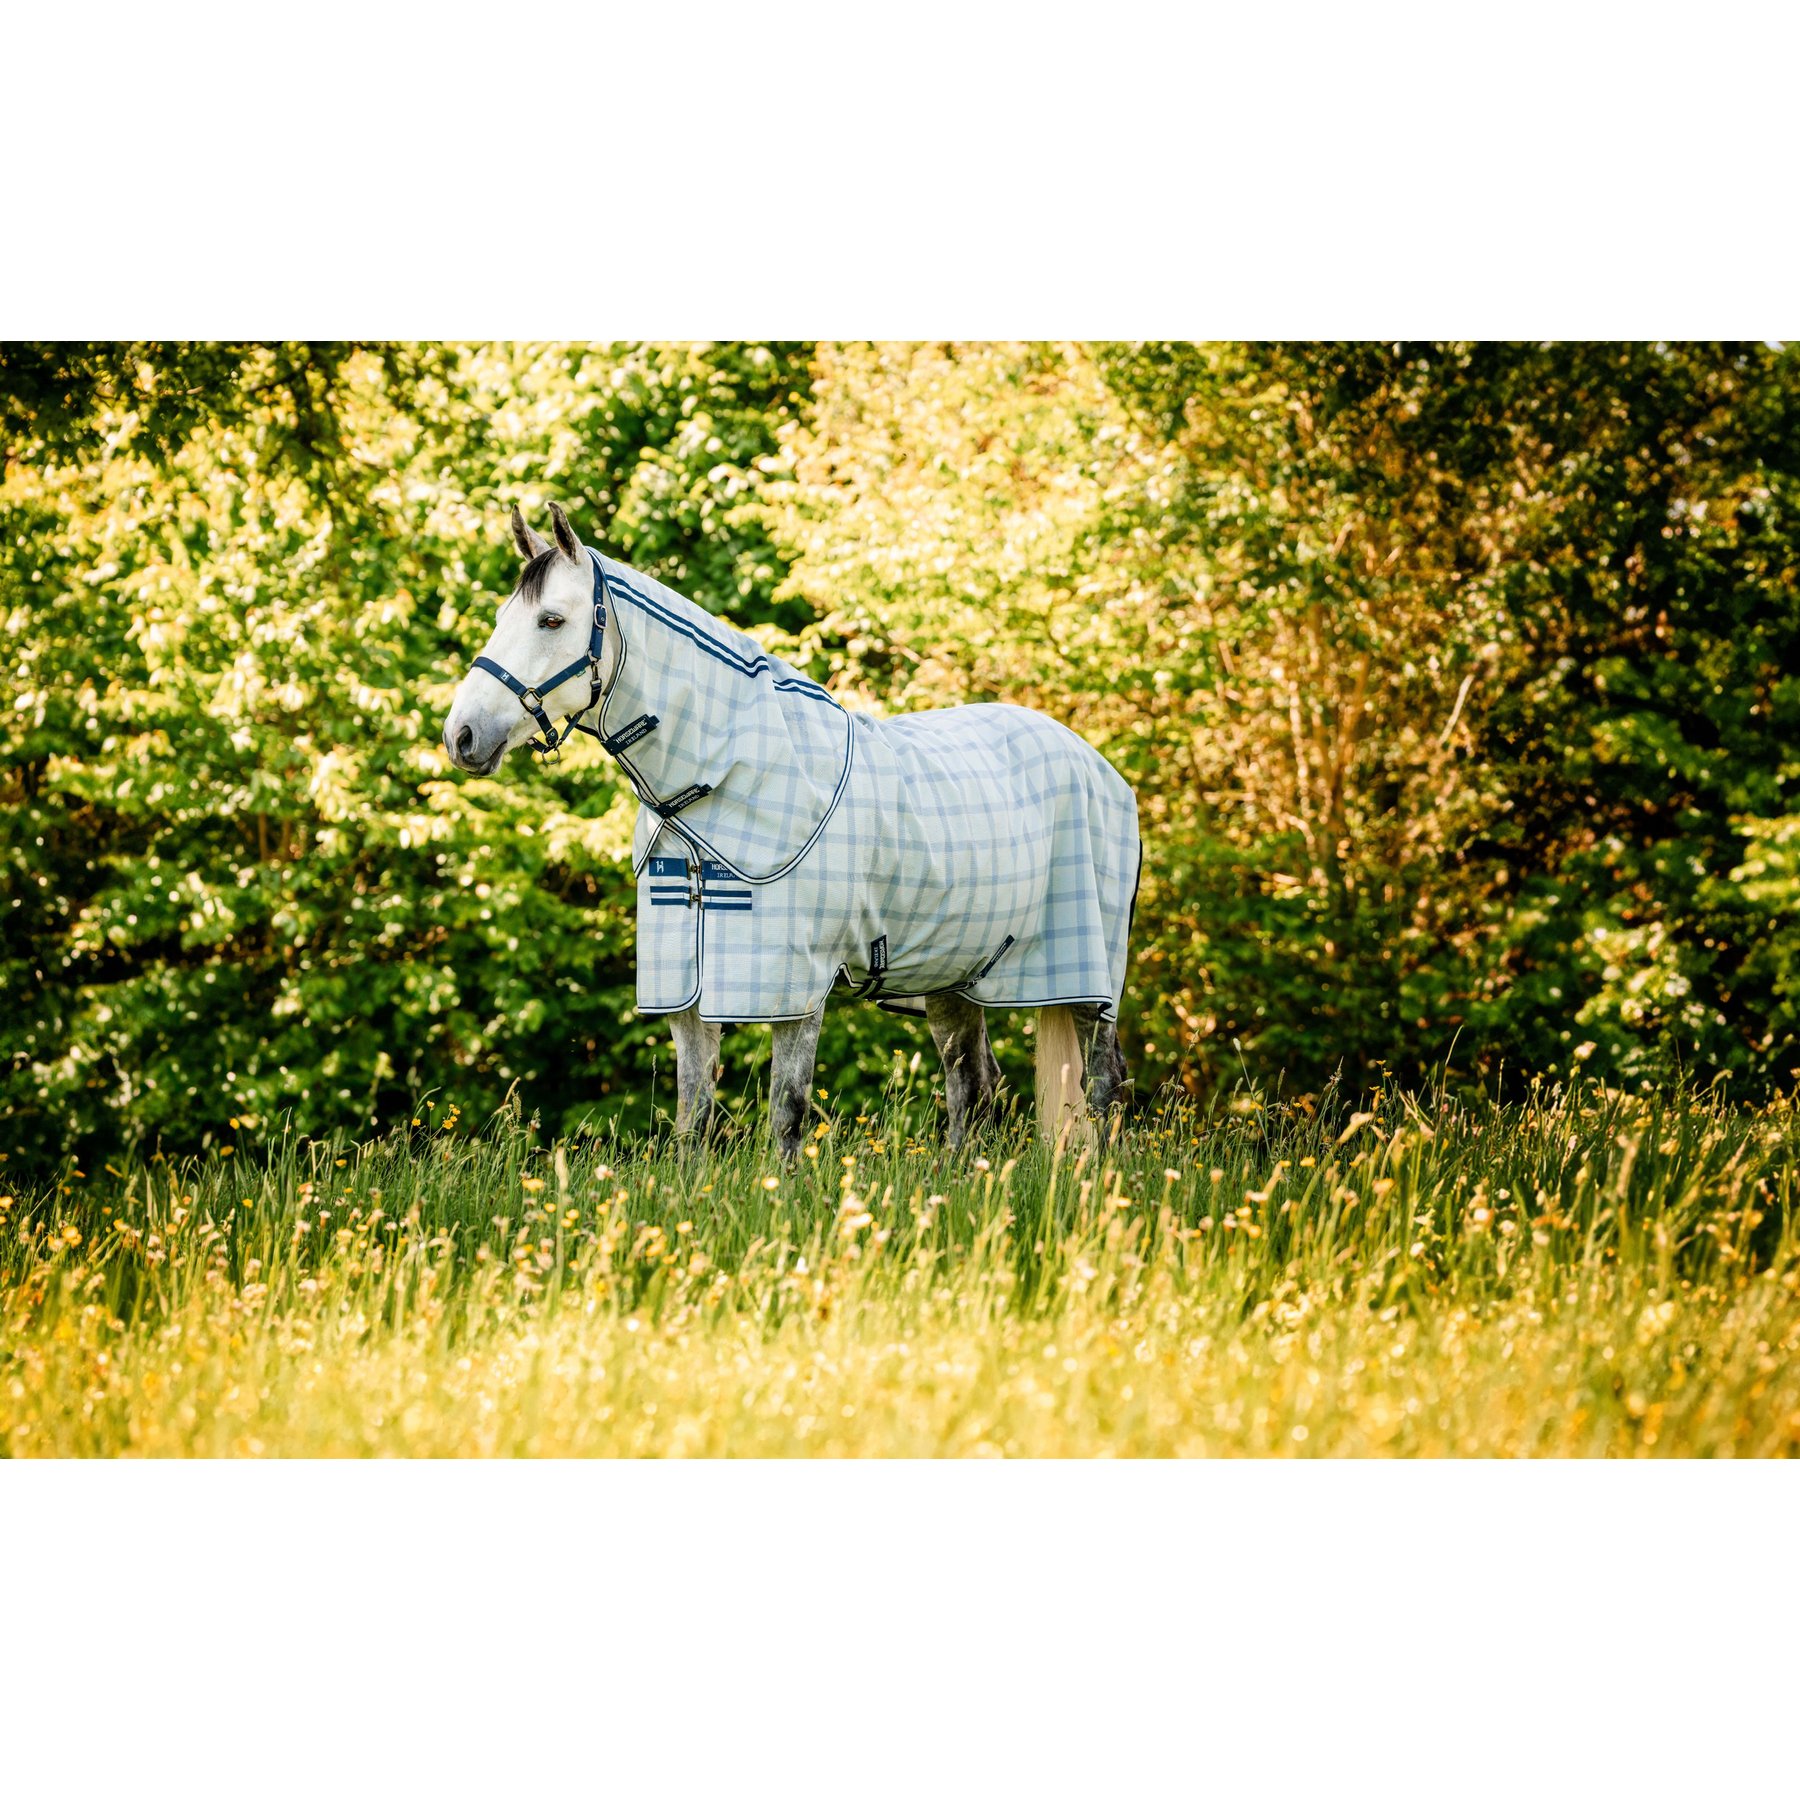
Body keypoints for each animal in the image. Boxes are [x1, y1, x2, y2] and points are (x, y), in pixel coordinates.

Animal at [442, 503, 1140, 1160]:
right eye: (504, 617)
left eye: (551, 620)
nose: (462, 736)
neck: (719, 784)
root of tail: (1100, 768)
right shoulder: (687, 995)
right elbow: (692, 1117)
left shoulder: (794, 987)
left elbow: (786, 1111)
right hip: (955, 976)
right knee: (973, 1084)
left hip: (1090, 982)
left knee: (1102, 1087)